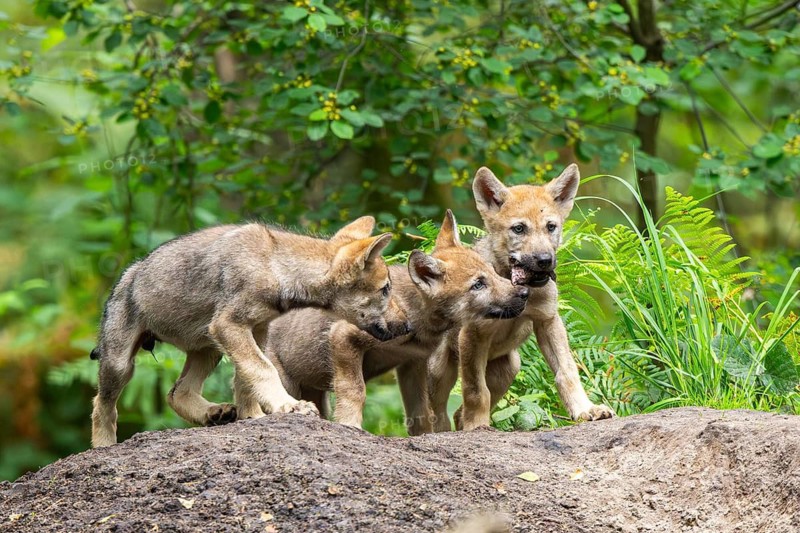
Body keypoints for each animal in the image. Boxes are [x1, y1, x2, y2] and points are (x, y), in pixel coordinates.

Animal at [90, 217, 407, 447]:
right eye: (386, 289)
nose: (407, 325)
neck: (275, 267)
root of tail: (127, 275)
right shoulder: (229, 325)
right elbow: (262, 370)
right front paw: (288, 406)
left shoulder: (256, 330)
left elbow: (245, 380)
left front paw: (252, 417)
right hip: (120, 364)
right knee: (102, 405)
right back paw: (103, 447)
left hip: (207, 349)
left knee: (176, 393)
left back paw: (214, 413)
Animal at [261, 210, 529, 434]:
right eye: (478, 284)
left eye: (493, 272)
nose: (524, 293)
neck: (415, 319)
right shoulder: (343, 337)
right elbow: (355, 391)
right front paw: (350, 426)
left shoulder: (413, 363)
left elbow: (420, 413)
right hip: (288, 384)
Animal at [429, 164, 614, 431]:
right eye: (519, 228)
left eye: (551, 227)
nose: (545, 260)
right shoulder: (472, 335)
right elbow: (476, 391)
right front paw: (477, 427)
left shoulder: (548, 321)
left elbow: (567, 372)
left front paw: (584, 409)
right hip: (438, 373)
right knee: (435, 414)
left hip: (507, 369)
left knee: (459, 413)